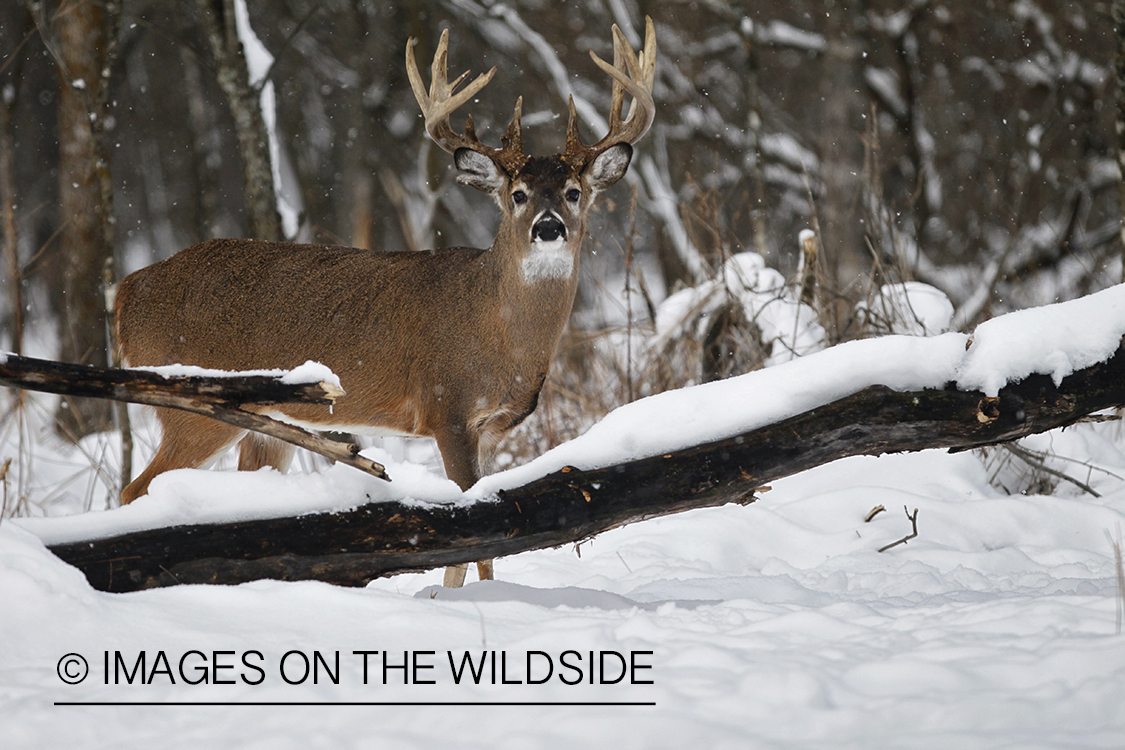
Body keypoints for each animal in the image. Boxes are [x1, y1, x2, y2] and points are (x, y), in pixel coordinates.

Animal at [113, 19, 657, 584]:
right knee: (135, 489)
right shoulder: (447, 408)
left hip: (263, 422)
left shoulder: (490, 429)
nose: (548, 228)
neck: (499, 333)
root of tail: (126, 292)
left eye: (574, 191)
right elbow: (475, 538)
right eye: (519, 195)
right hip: (190, 403)